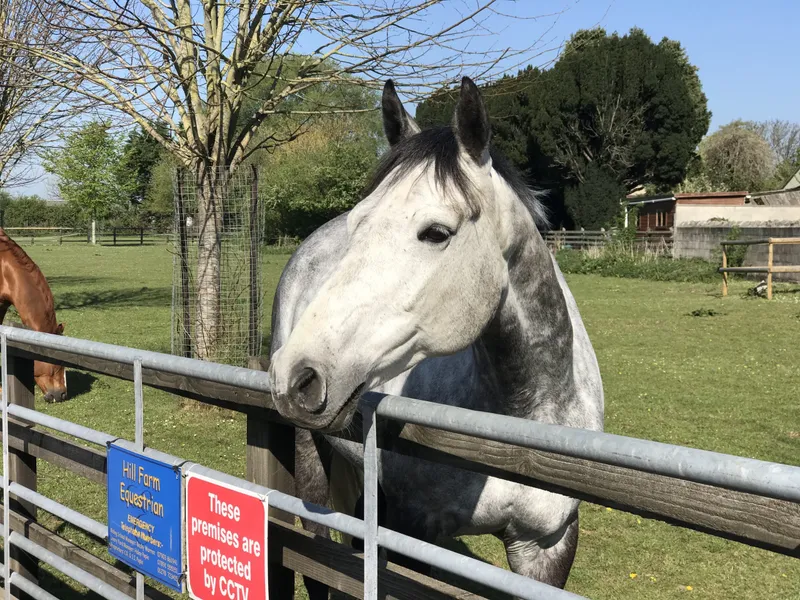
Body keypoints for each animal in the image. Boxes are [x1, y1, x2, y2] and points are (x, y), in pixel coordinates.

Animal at [269, 77, 603, 597]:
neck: (523, 413)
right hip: (312, 455)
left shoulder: (548, 546)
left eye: (436, 232)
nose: (297, 374)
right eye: (359, 223)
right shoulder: (413, 529)